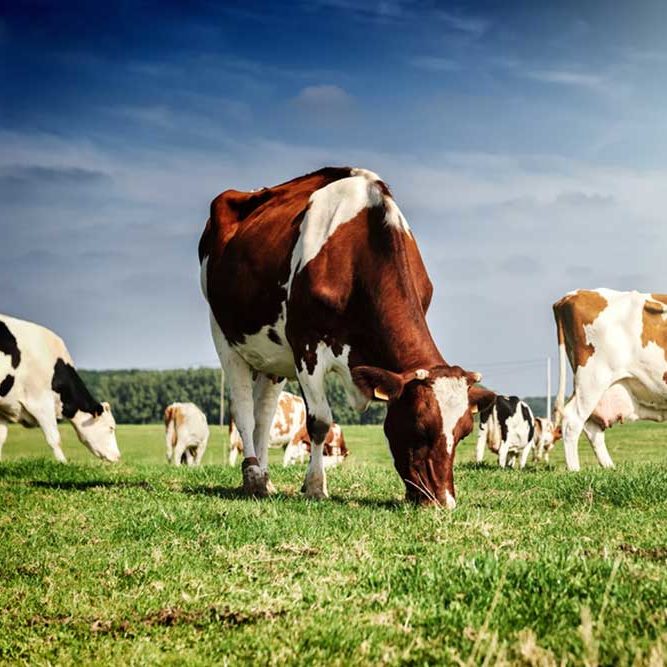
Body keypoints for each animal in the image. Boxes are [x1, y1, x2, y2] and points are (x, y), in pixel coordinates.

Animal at [0, 314, 120, 462]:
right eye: (111, 428)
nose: (118, 456)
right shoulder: (41, 403)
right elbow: (54, 439)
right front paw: (63, 463)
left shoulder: (5, 407)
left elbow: (1, 439)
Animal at [197, 167, 490, 506]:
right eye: (419, 427)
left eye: (464, 431)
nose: (443, 502)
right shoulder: (306, 346)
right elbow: (320, 421)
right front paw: (315, 486)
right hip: (224, 335)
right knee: (243, 408)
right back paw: (254, 476)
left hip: (272, 356)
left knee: (264, 414)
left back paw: (266, 479)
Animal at [556, 290, 667, 472]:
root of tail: (575, 294)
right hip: (592, 379)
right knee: (573, 420)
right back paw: (575, 470)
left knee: (591, 427)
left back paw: (610, 469)